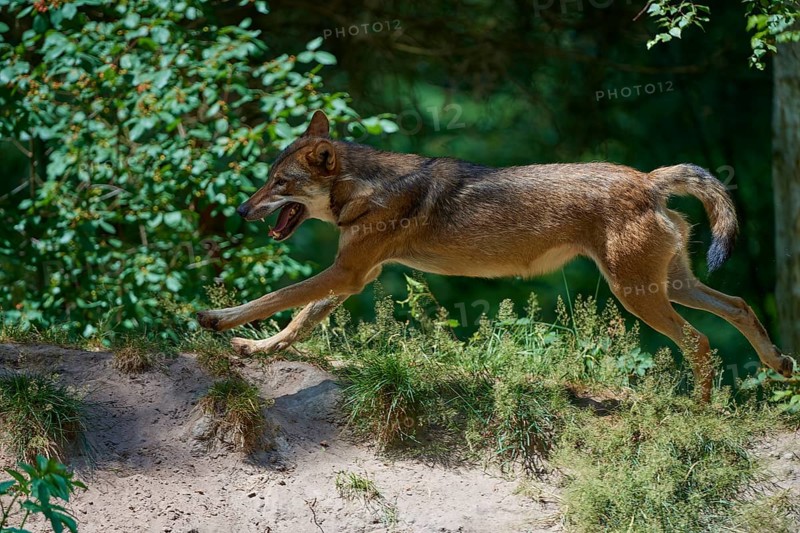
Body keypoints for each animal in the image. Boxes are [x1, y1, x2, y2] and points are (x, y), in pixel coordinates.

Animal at [197, 111, 794, 401]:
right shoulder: (354, 278)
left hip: (639, 296)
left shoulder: (346, 273)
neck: (367, 187)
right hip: (670, 285)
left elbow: (275, 297)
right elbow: (297, 320)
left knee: (698, 343)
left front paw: (216, 318)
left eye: (278, 183)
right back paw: (779, 364)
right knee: (740, 306)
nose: (241, 210)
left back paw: (699, 411)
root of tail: (648, 180)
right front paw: (254, 348)